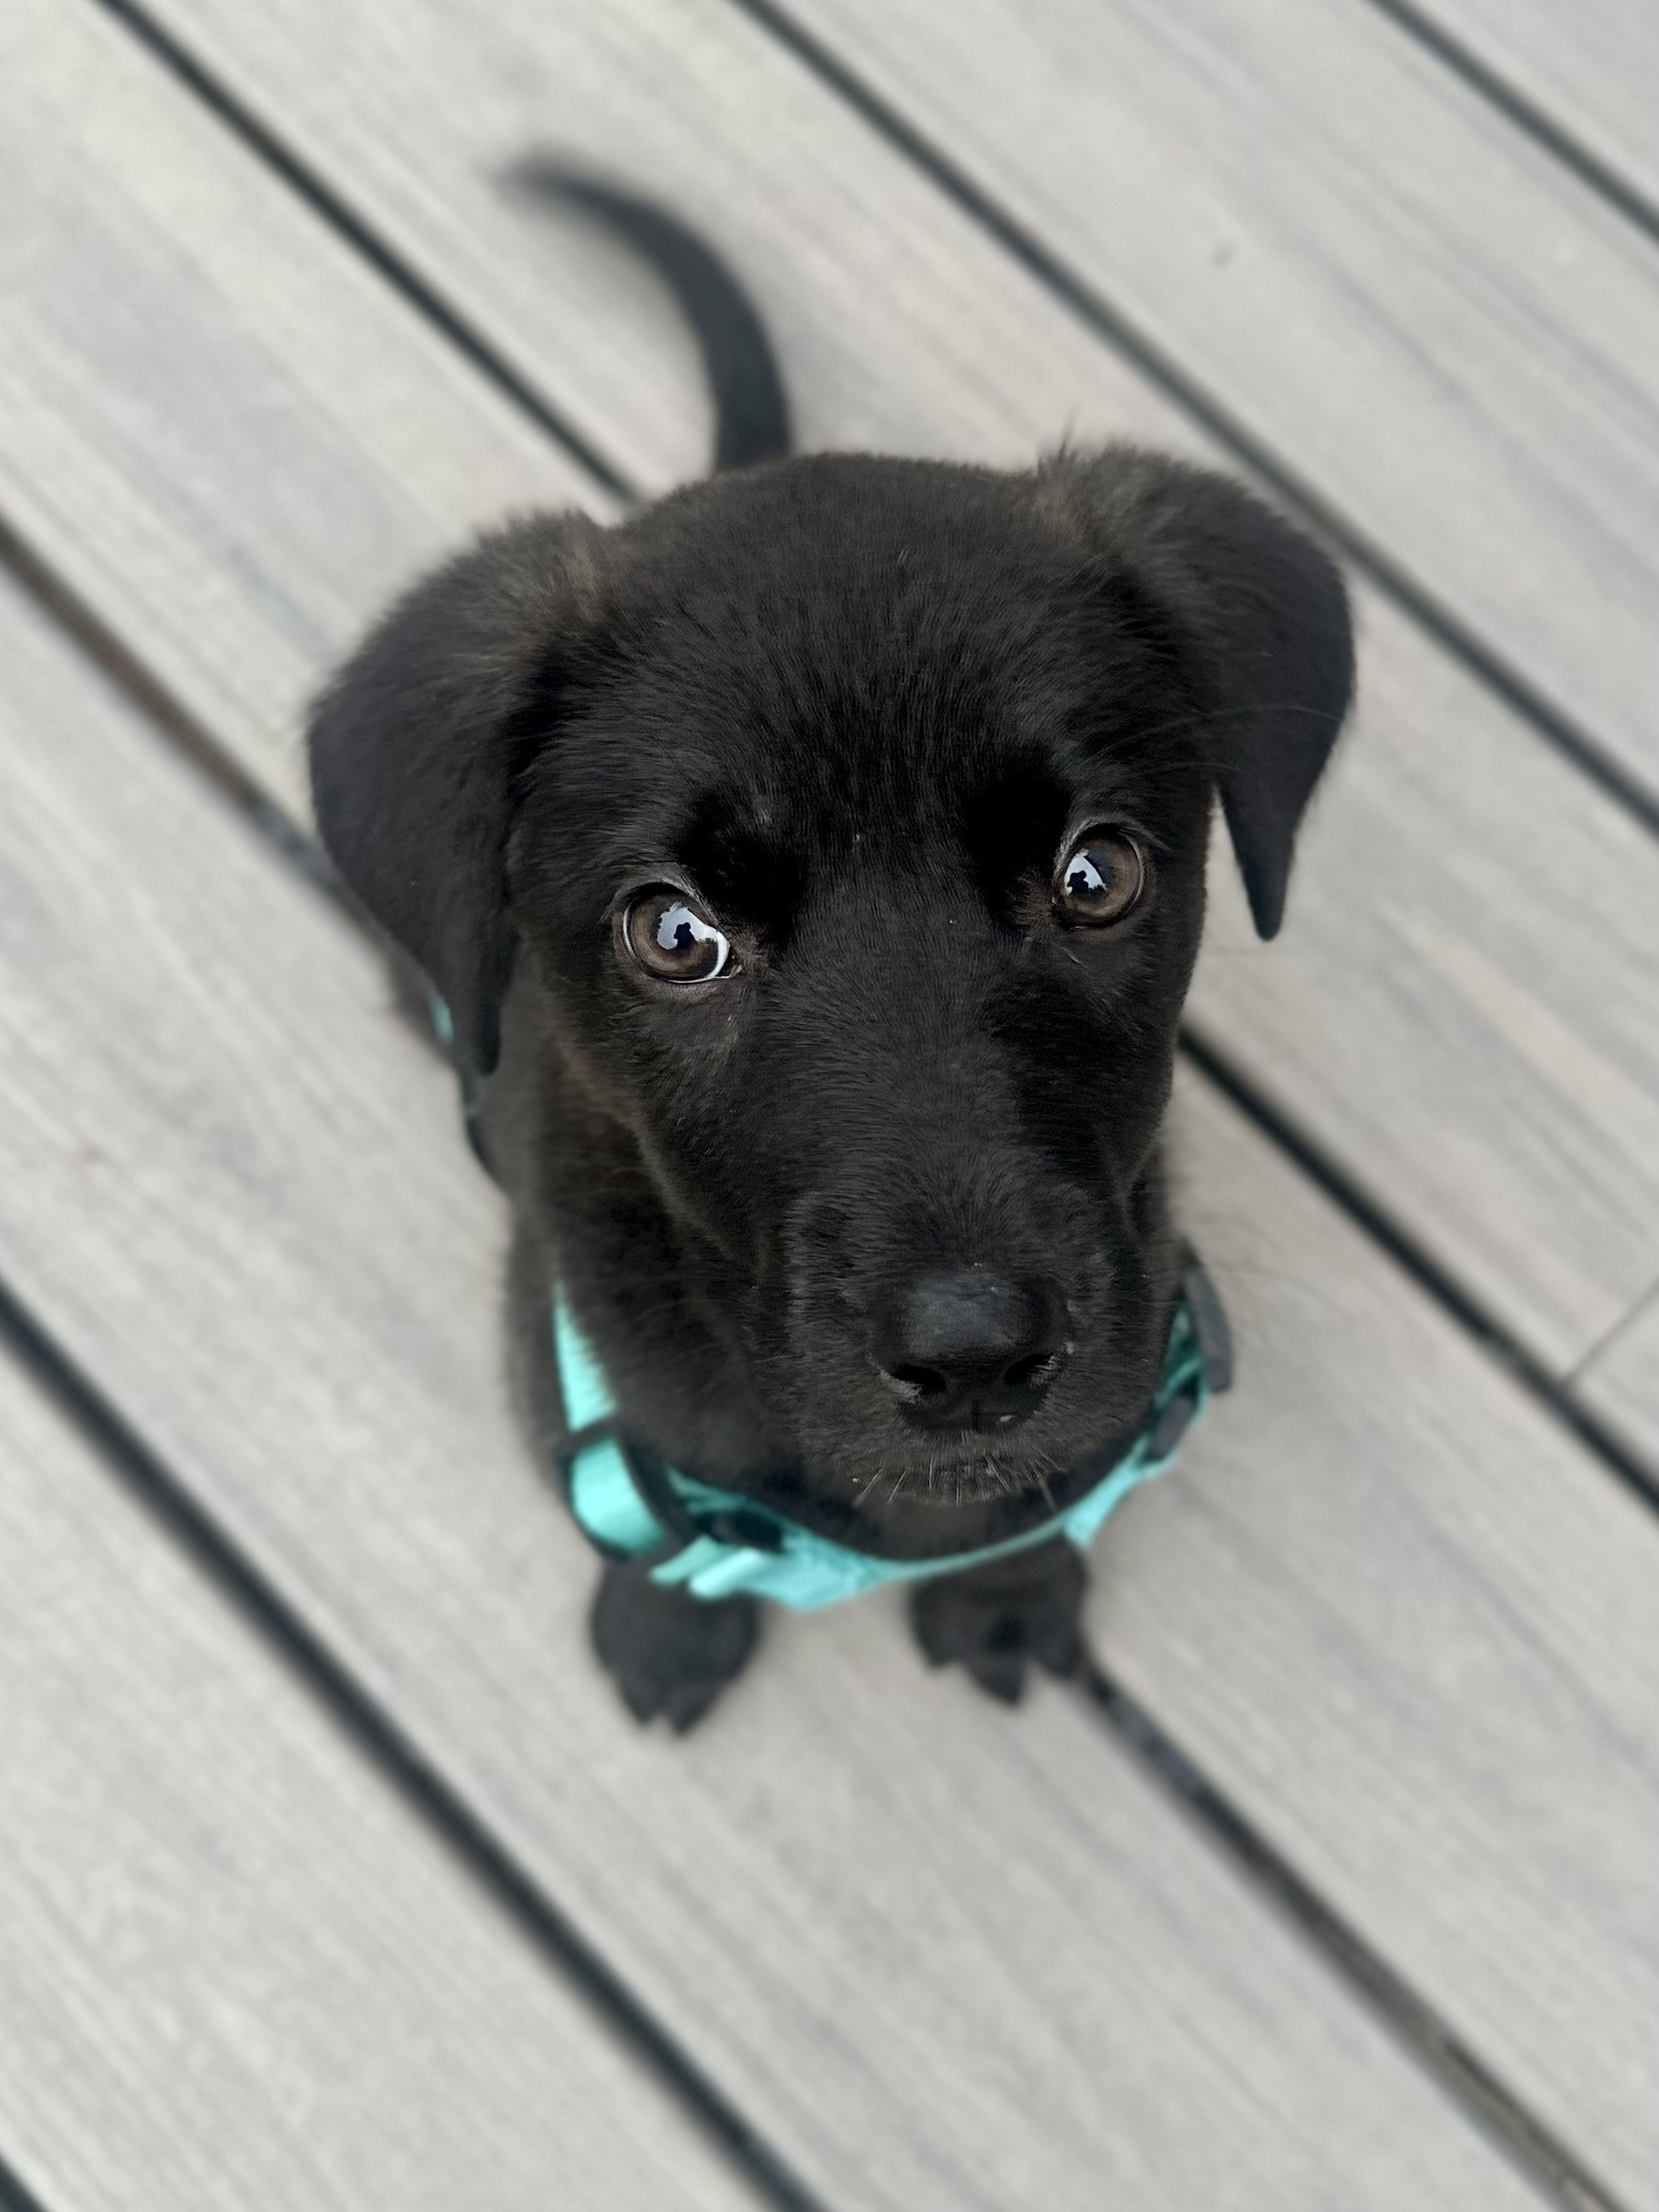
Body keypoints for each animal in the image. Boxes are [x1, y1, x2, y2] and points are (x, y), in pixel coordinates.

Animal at [312, 194, 1353, 1725]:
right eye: (676, 934)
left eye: (1094, 874)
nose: (976, 1354)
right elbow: (656, 1535)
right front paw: (666, 1627)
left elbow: (1029, 1508)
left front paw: (1003, 1594)